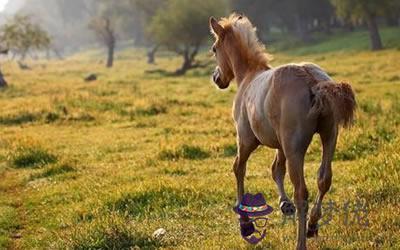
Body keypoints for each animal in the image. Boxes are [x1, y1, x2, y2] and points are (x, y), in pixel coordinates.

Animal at [209, 14, 356, 250]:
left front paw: (245, 223)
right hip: (329, 136)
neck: (248, 76)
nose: (216, 78)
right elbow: (276, 169)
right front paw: (284, 205)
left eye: (214, 48)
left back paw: (300, 241)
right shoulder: (281, 144)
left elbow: (239, 168)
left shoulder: (246, 140)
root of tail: (312, 80)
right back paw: (312, 225)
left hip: (295, 148)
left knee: (302, 192)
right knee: (324, 179)